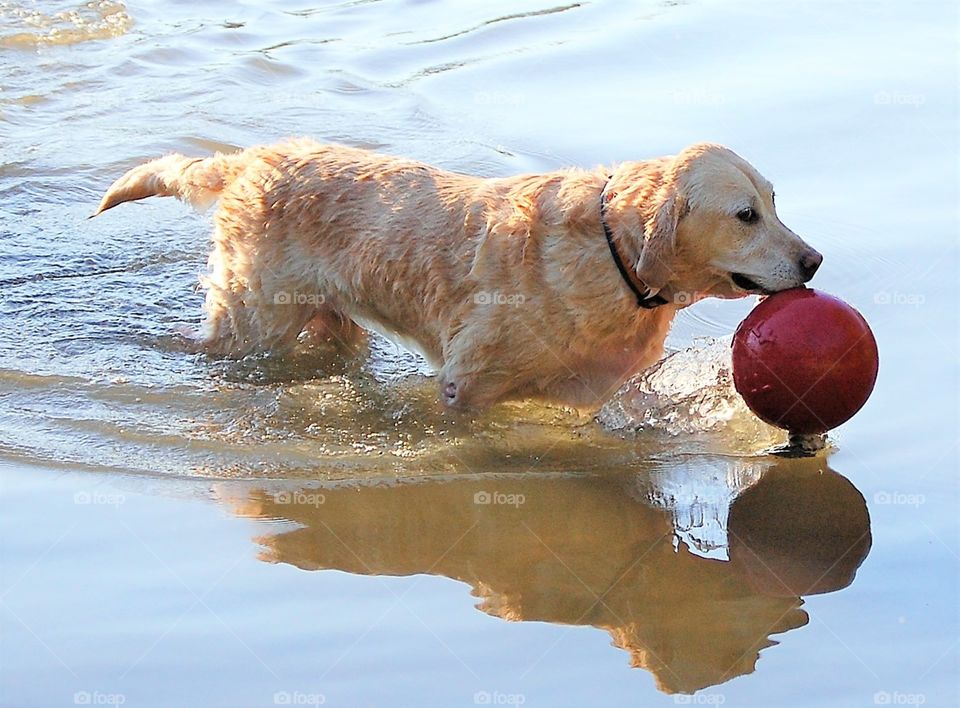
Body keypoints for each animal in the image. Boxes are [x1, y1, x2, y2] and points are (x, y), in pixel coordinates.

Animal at [94, 140, 820, 410]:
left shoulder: (591, 391)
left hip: (334, 325)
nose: (814, 261)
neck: (612, 253)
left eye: (775, 201)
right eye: (746, 215)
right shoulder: (467, 384)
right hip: (253, 322)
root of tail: (250, 158)